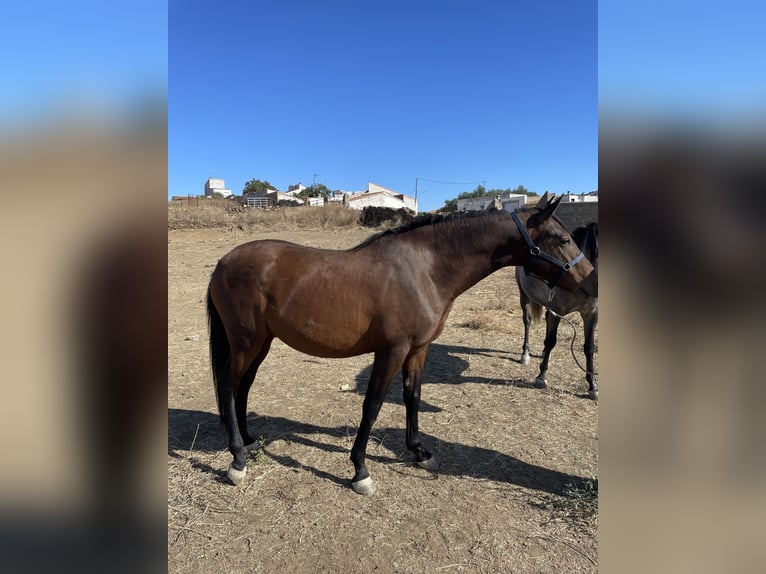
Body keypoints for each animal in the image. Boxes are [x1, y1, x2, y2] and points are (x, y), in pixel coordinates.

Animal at [517, 221, 598, 399]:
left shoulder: (591, 314)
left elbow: (589, 348)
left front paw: (592, 385)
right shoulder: (558, 312)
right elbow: (551, 341)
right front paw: (541, 377)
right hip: (524, 295)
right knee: (527, 321)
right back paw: (525, 354)